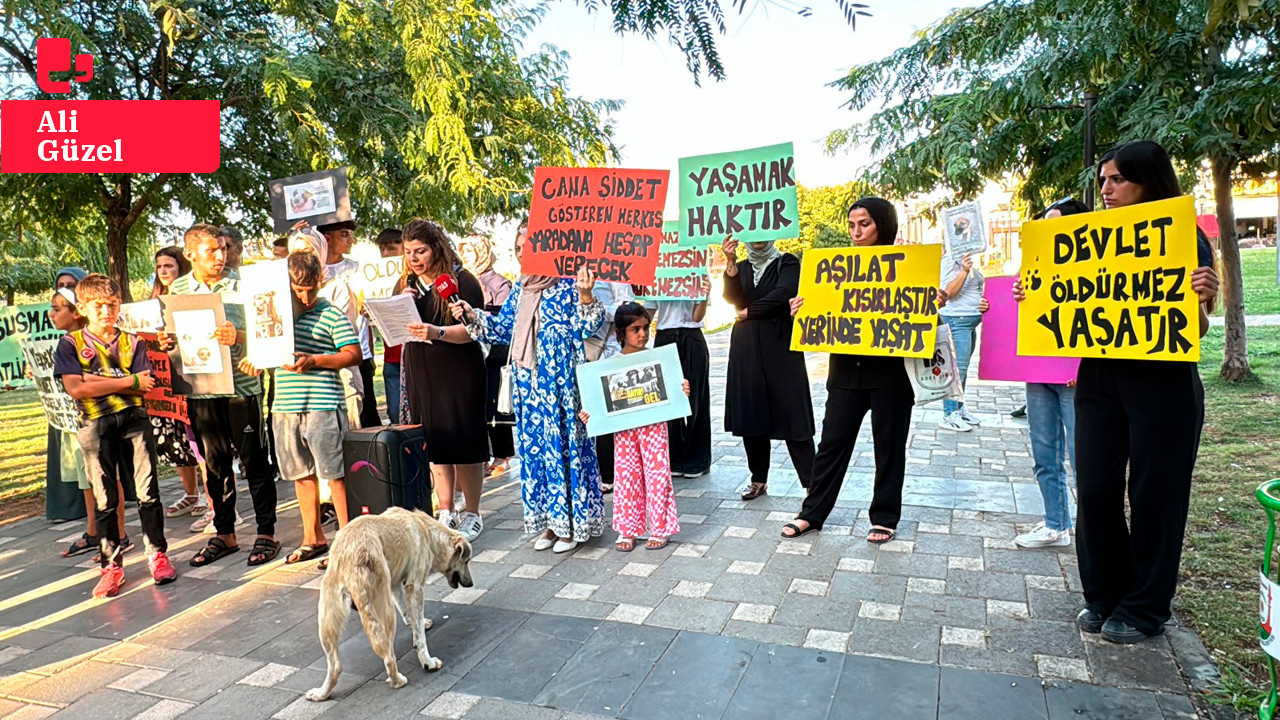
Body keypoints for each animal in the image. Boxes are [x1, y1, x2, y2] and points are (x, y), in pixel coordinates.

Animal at [305, 502, 476, 696]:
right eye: (467, 561)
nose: (471, 584)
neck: (425, 528)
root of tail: (352, 554)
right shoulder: (415, 587)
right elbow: (420, 635)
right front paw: (427, 660)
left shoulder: (395, 585)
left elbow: (408, 614)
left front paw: (418, 623)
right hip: (384, 610)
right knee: (388, 655)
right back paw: (397, 680)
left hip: (328, 617)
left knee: (335, 666)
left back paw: (321, 693)